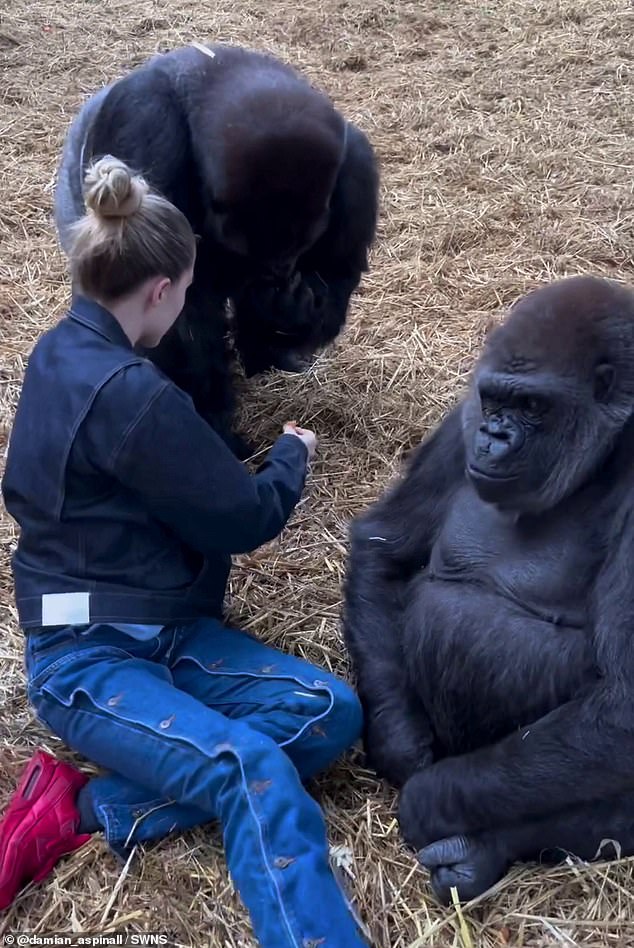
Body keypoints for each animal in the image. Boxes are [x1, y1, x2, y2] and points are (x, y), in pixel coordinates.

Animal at [53, 42, 376, 458]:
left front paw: (286, 314)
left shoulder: (357, 164)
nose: (276, 270)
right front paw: (212, 424)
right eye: (251, 248)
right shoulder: (145, 125)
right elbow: (176, 309)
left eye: (298, 244)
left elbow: (337, 272)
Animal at [344, 276, 634, 904]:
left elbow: (625, 702)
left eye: (533, 407)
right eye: (496, 400)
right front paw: (400, 741)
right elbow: (384, 551)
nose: (494, 437)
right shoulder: (460, 423)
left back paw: (484, 851)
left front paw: (429, 797)